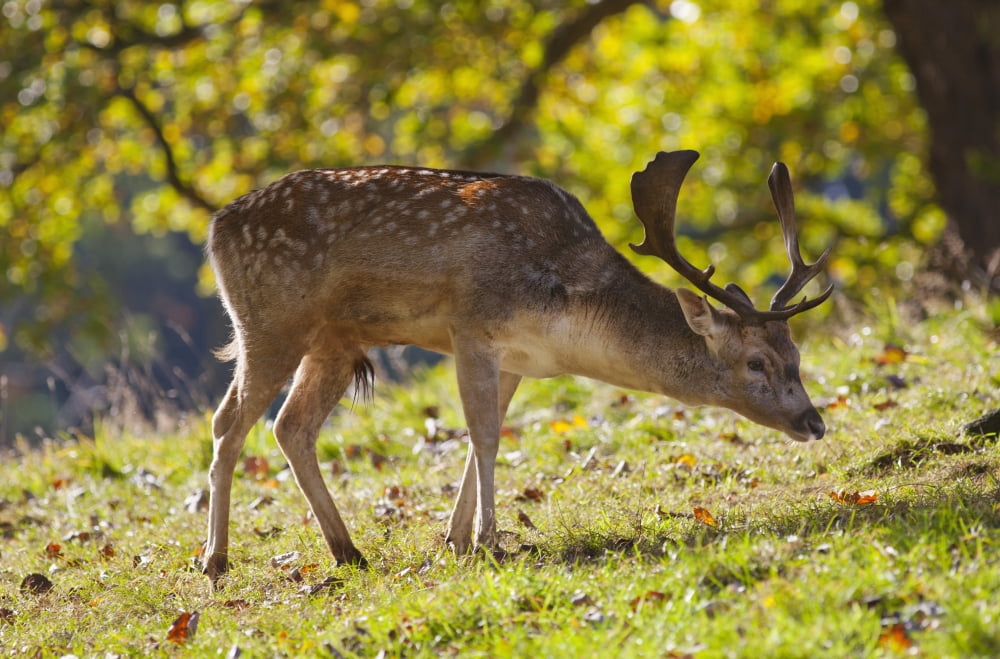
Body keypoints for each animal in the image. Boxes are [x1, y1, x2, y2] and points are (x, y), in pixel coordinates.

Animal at [202, 149, 831, 583]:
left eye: (797, 356)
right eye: (756, 362)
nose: (815, 422)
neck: (566, 306)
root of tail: (217, 225)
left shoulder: (518, 359)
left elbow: (487, 435)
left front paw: (455, 541)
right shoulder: (470, 327)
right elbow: (483, 437)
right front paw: (489, 542)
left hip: (333, 340)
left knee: (291, 426)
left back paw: (348, 552)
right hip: (269, 322)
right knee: (228, 423)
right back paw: (215, 560)